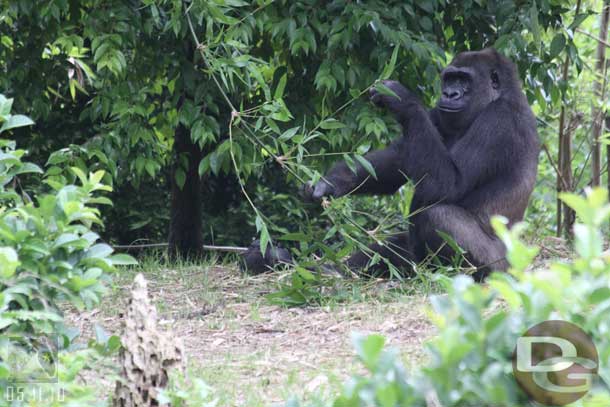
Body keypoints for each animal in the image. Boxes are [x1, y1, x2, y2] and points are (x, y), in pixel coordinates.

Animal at [242, 47, 536, 278]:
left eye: (465, 80)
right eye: (450, 78)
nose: (450, 94)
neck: (500, 95)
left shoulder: (499, 121)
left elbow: (449, 185)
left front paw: (401, 99)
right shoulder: (436, 115)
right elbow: (396, 161)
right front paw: (327, 184)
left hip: (501, 267)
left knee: (437, 216)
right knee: (395, 247)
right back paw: (321, 268)